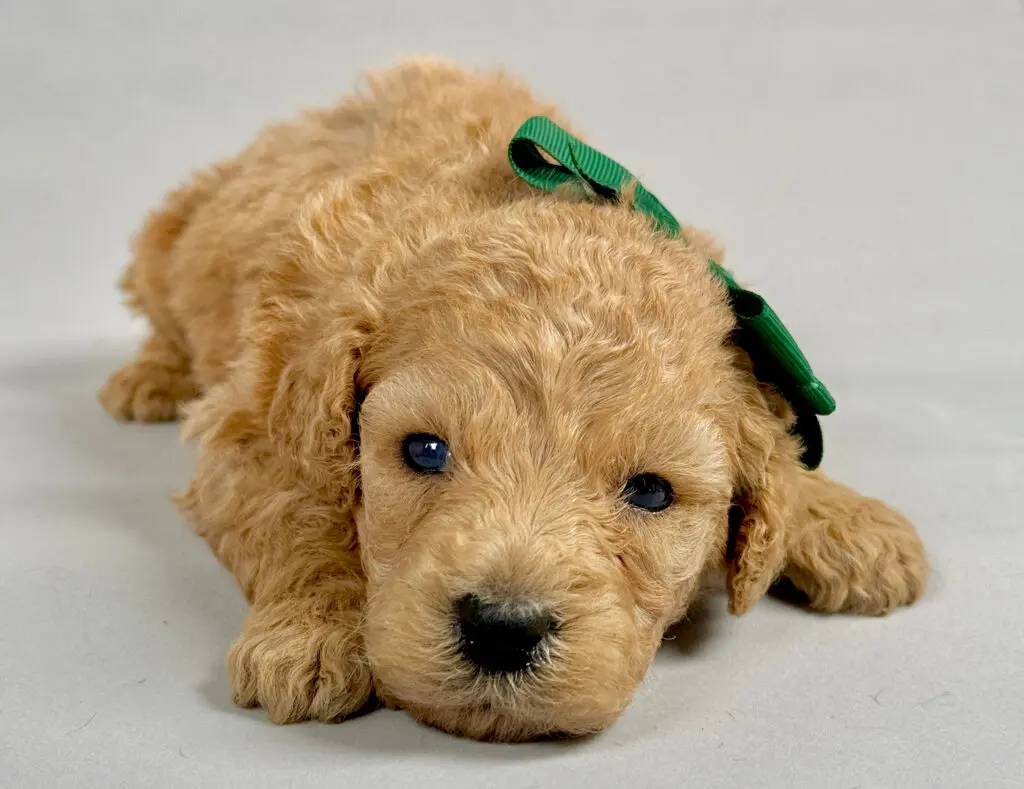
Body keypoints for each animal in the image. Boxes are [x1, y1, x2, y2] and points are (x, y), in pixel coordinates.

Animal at [98, 57, 928, 742]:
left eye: (652, 491)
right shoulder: (256, 415)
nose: (501, 629)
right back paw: (147, 379)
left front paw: (847, 519)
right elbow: (300, 506)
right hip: (169, 238)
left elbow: (787, 454)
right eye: (424, 450)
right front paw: (312, 631)